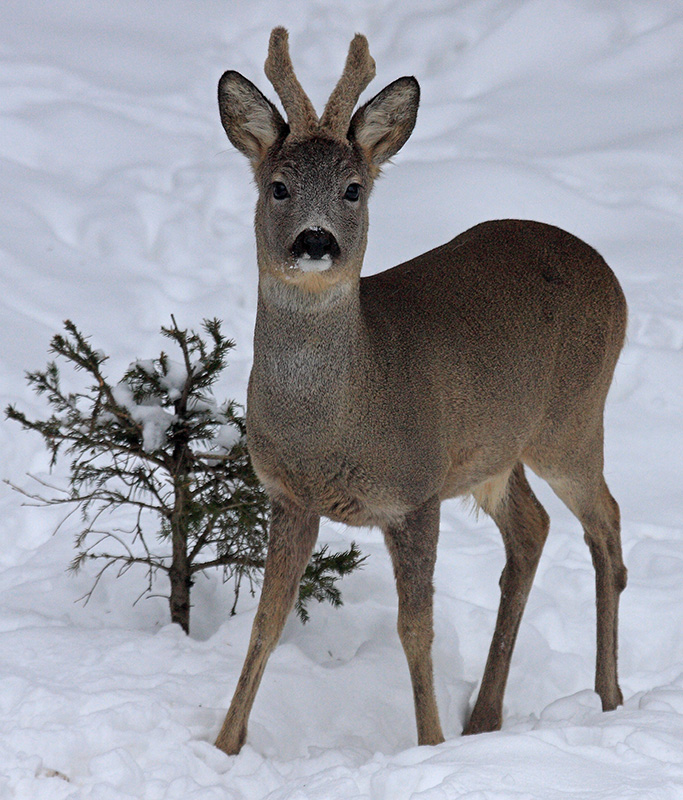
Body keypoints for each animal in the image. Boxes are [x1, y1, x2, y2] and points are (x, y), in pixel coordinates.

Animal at [216, 26, 628, 756]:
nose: (315, 240)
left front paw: (429, 744)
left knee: (605, 525)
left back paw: (608, 699)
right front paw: (223, 747)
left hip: (572, 421)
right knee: (532, 528)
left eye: (353, 189)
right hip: (495, 452)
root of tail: (613, 279)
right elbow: (267, 621)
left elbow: (416, 630)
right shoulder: (288, 495)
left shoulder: (413, 490)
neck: (334, 424)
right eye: (279, 186)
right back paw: (485, 718)